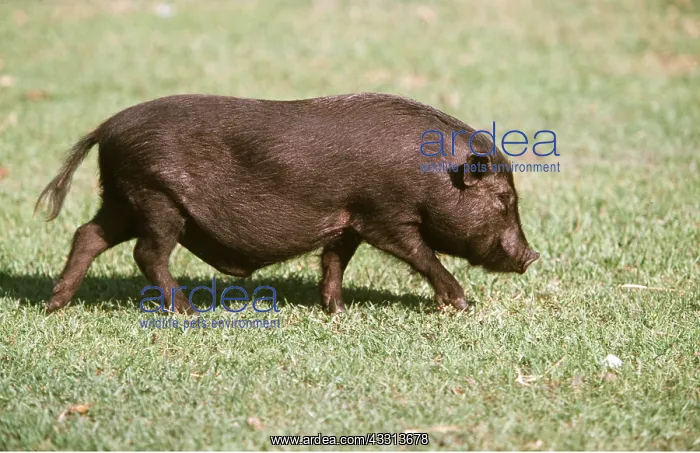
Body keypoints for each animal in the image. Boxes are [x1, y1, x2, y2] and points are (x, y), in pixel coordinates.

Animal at [36, 93, 539, 314]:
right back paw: (189, 313)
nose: (532, 255)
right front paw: (461, 304)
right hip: (157, 199)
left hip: (123, 199)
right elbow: (421, 254)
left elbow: (334, 261)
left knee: (87, 234)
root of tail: (106, 128)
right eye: (503, 198)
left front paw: (337, 312)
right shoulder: (384, 216)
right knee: (147, 253)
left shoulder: (348, 220)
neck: (430, 176)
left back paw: (54, 305)